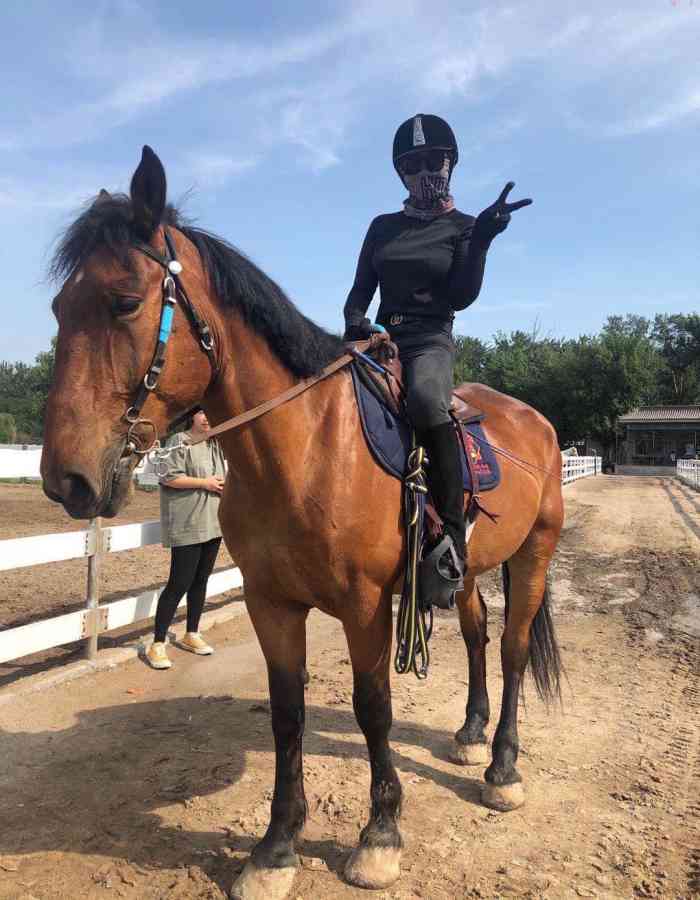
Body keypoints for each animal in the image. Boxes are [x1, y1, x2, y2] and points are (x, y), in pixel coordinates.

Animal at [41, 147, 564, 900]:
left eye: (125, 302)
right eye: (59, 308)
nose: (67, 480)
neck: (307, 446)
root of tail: (537, 422)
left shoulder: (365, 604)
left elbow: (374, 706)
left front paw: (379, 837)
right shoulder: (273, 602)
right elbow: (287, 711)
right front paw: (276, 848)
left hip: (535, 555)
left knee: (515, 650)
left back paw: (502, 769)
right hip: (467, 570)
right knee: (476, 637)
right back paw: (469, 735)